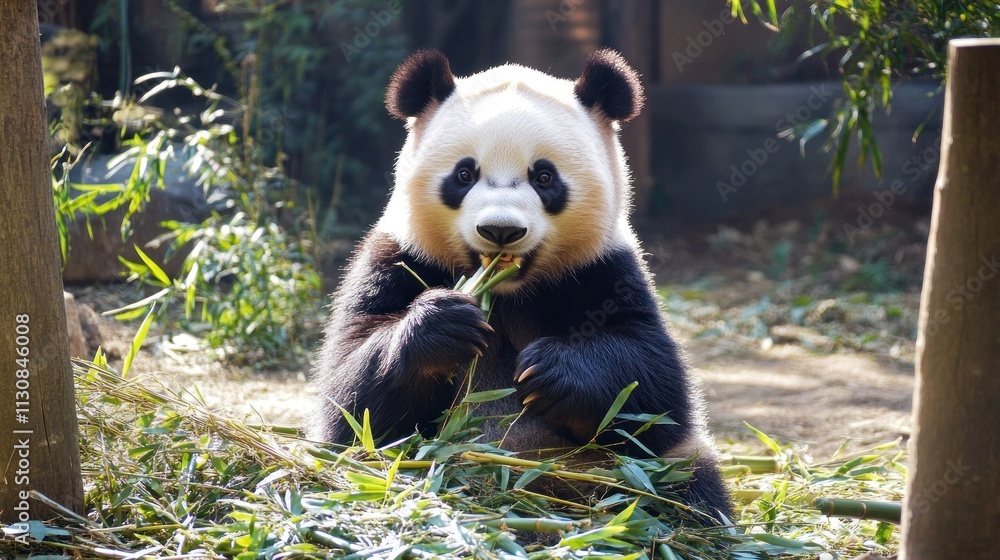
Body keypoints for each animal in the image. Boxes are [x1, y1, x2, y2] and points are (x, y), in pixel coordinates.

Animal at [312, 48, 731, 518]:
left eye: (544, 177)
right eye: (464, 174)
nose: (500, 230)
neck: (507, 291)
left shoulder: (603, 269)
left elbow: (656, 384)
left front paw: (550, 371)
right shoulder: (398, 258)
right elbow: (351, 402)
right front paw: (444, 323)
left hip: (659, 472)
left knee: (688, 487)